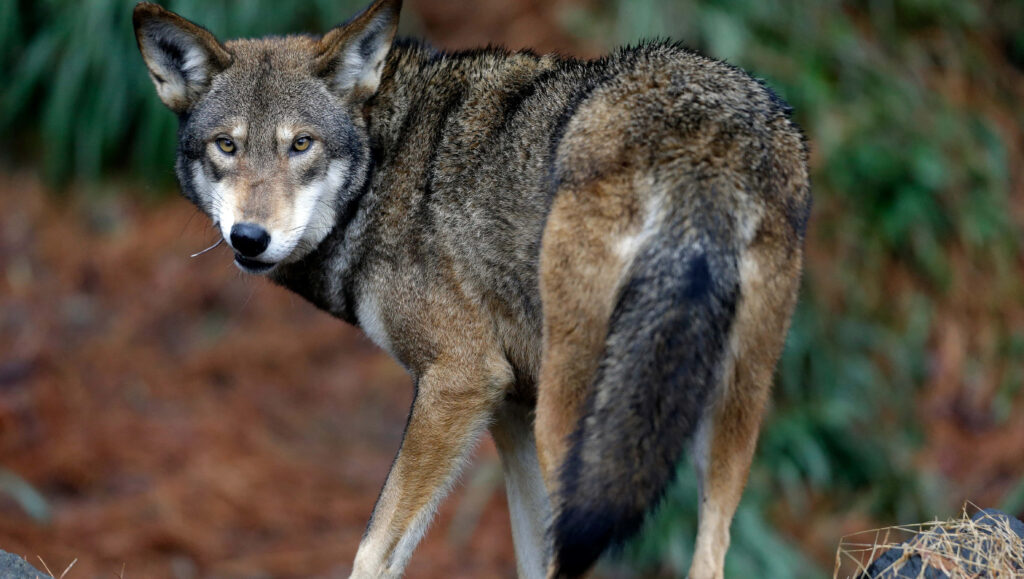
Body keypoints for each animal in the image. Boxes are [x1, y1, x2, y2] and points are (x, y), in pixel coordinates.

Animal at [133, 0, 810, 577]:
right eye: (226, 146)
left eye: (301, 144)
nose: (250, 238)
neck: (384, 167)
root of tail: (704, 141)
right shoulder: (510, 409)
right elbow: (530, 553)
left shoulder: (461, 380)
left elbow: (375, 550)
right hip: (721, 420)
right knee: (711, 555)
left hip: (576, 422)